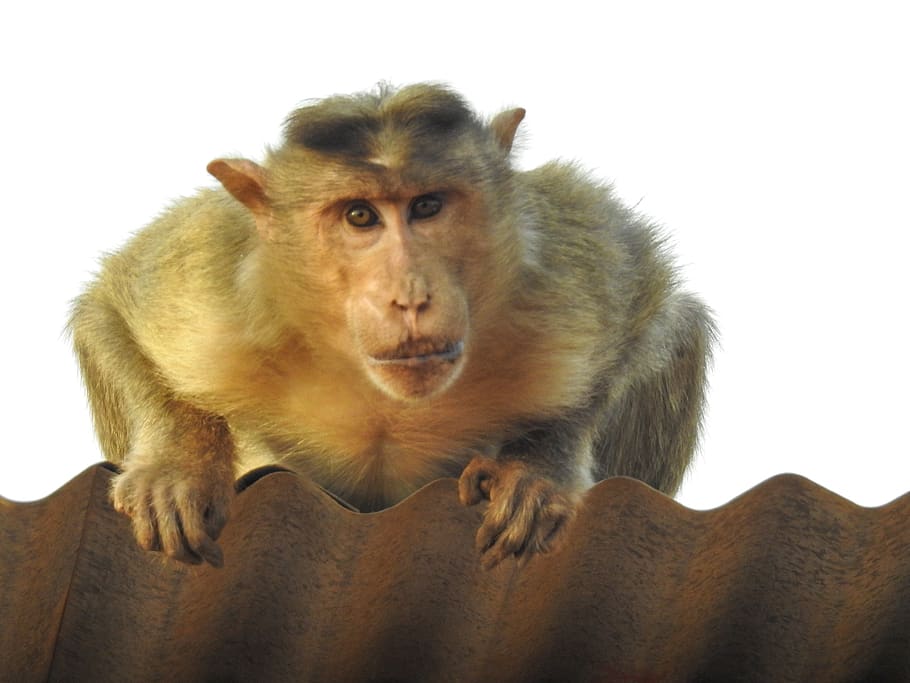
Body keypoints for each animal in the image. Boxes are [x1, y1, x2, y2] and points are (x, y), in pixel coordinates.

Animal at [69, 83, 714, 569]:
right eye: (361, 216)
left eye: (427, 206)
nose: (410, 297)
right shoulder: (215, 286)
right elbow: (109, 312)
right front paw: (177, 466)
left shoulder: (563, 275)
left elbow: (658, 310)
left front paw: (538, 466)